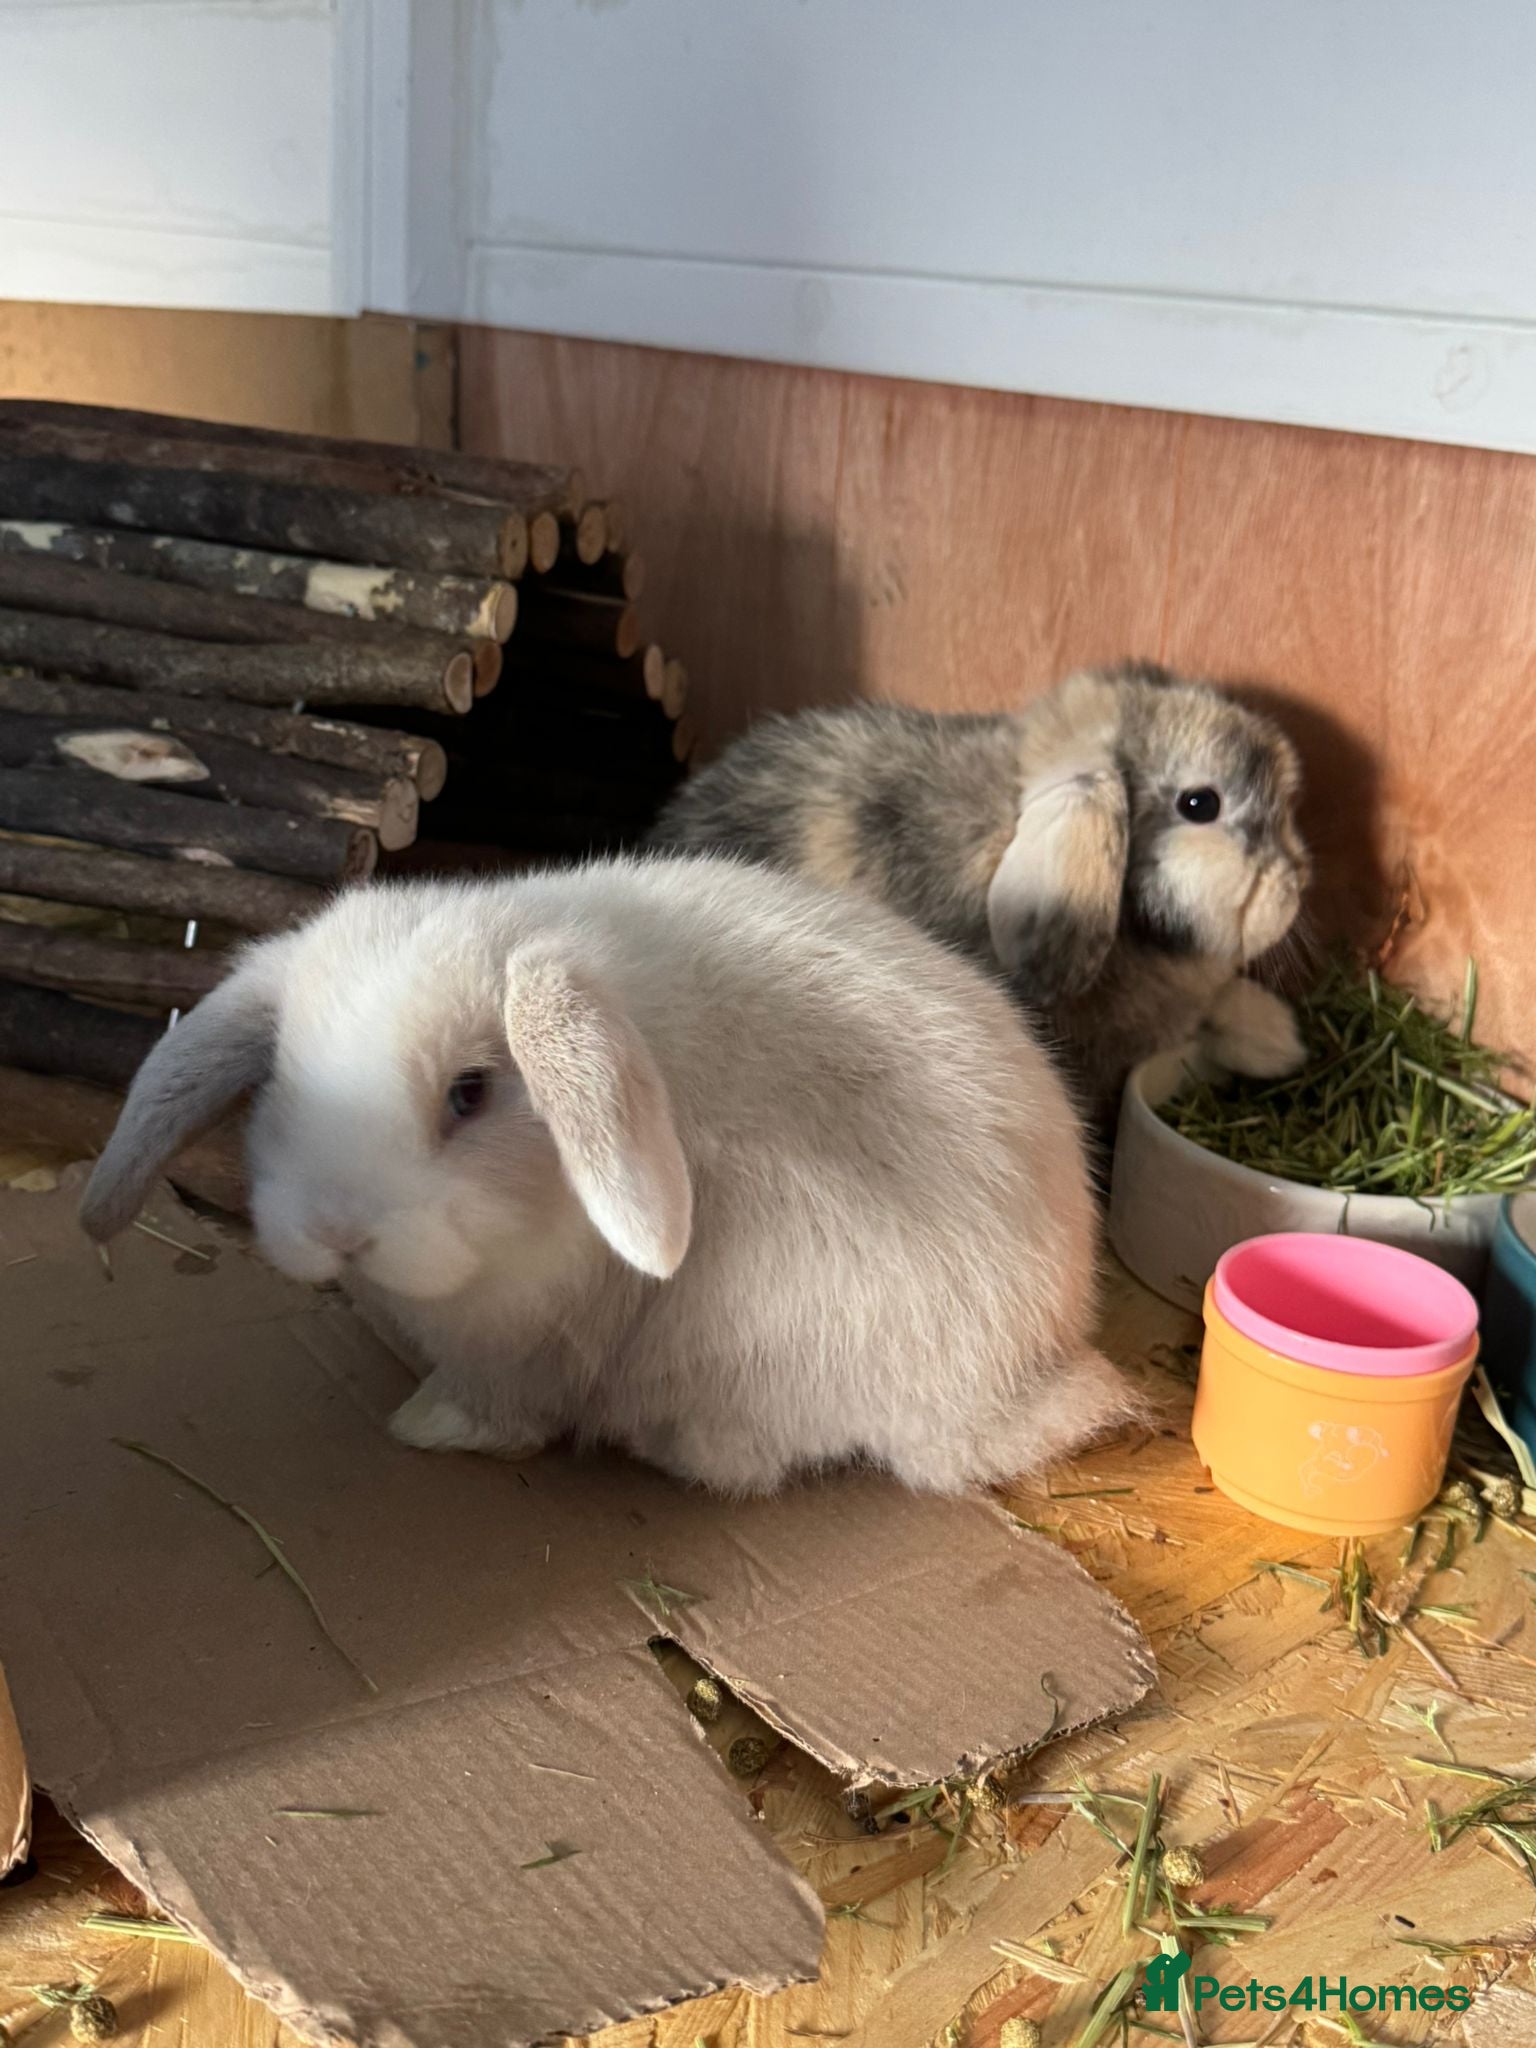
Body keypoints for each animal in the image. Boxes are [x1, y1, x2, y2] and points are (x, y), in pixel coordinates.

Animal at [78, 855, 1137, 1497]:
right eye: (281, 1080)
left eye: (469, 1093)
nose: (339, 1232)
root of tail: (1036, 1366)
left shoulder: (527, 1350)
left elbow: (504, 1411)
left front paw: (426, 1426)